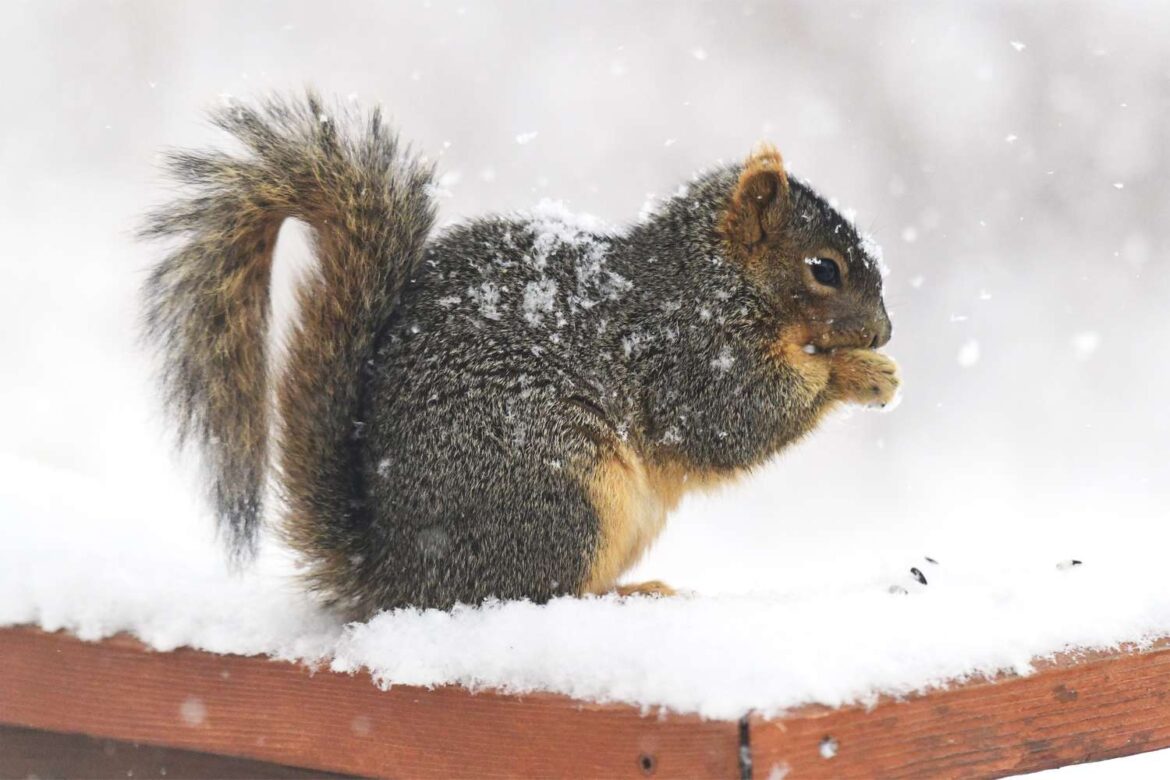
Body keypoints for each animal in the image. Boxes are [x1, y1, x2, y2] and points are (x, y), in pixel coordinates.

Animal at [142, 93, 898, 618]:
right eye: (824, 269)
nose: (884, 333)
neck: (713, 276)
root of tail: (393, 572)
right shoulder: (686, 352)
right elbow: (737, 418)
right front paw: (857, 374)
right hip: (559, 486)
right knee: (534, 593)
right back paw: (622, 596)